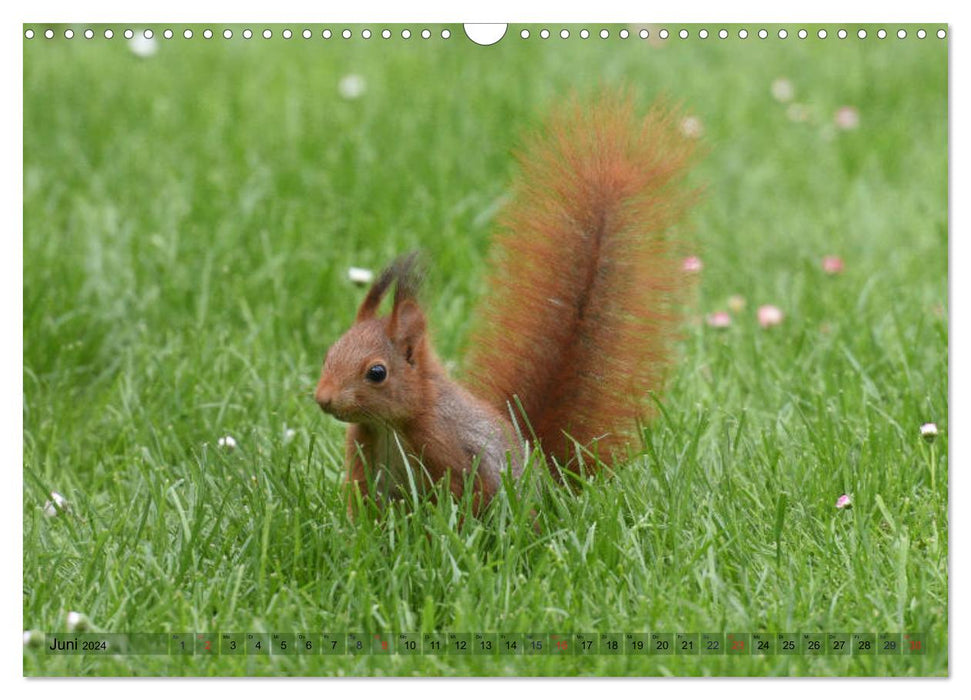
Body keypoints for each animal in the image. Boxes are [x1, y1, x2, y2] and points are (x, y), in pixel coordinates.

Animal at [316, 93, 704, 516]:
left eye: (377, 373)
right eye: (329, 353)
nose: (323, 399)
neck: (392, 424)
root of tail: (548, 480)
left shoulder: (448, 447)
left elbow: (463, 496)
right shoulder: (364, 456)